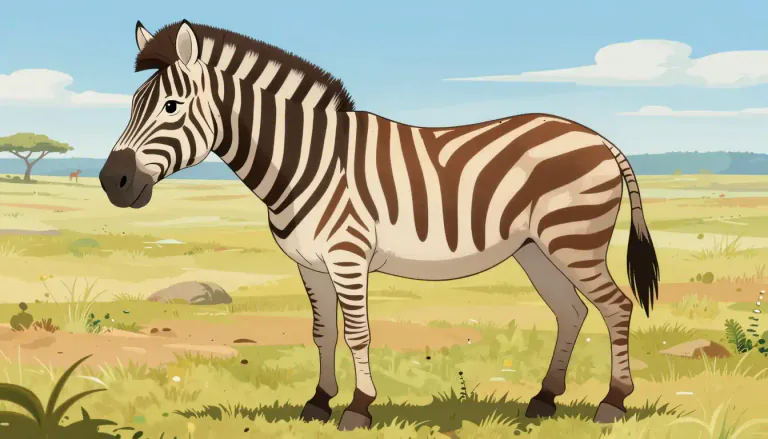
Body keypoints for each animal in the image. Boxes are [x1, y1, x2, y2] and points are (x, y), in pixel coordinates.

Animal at [100, 20, 660, 430]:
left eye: (172, 106)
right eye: (132, 106)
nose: (113, 182)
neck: (309, 160)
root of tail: (599, 137)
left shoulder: (348, 256)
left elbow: (357, 333)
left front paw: (357, 407)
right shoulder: (310, 265)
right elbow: (323, 332)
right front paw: (317, 402)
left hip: (574, 239)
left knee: (615, 306)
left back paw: (612, 403)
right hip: (535, 249)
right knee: (571, 311)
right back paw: (544, 399)